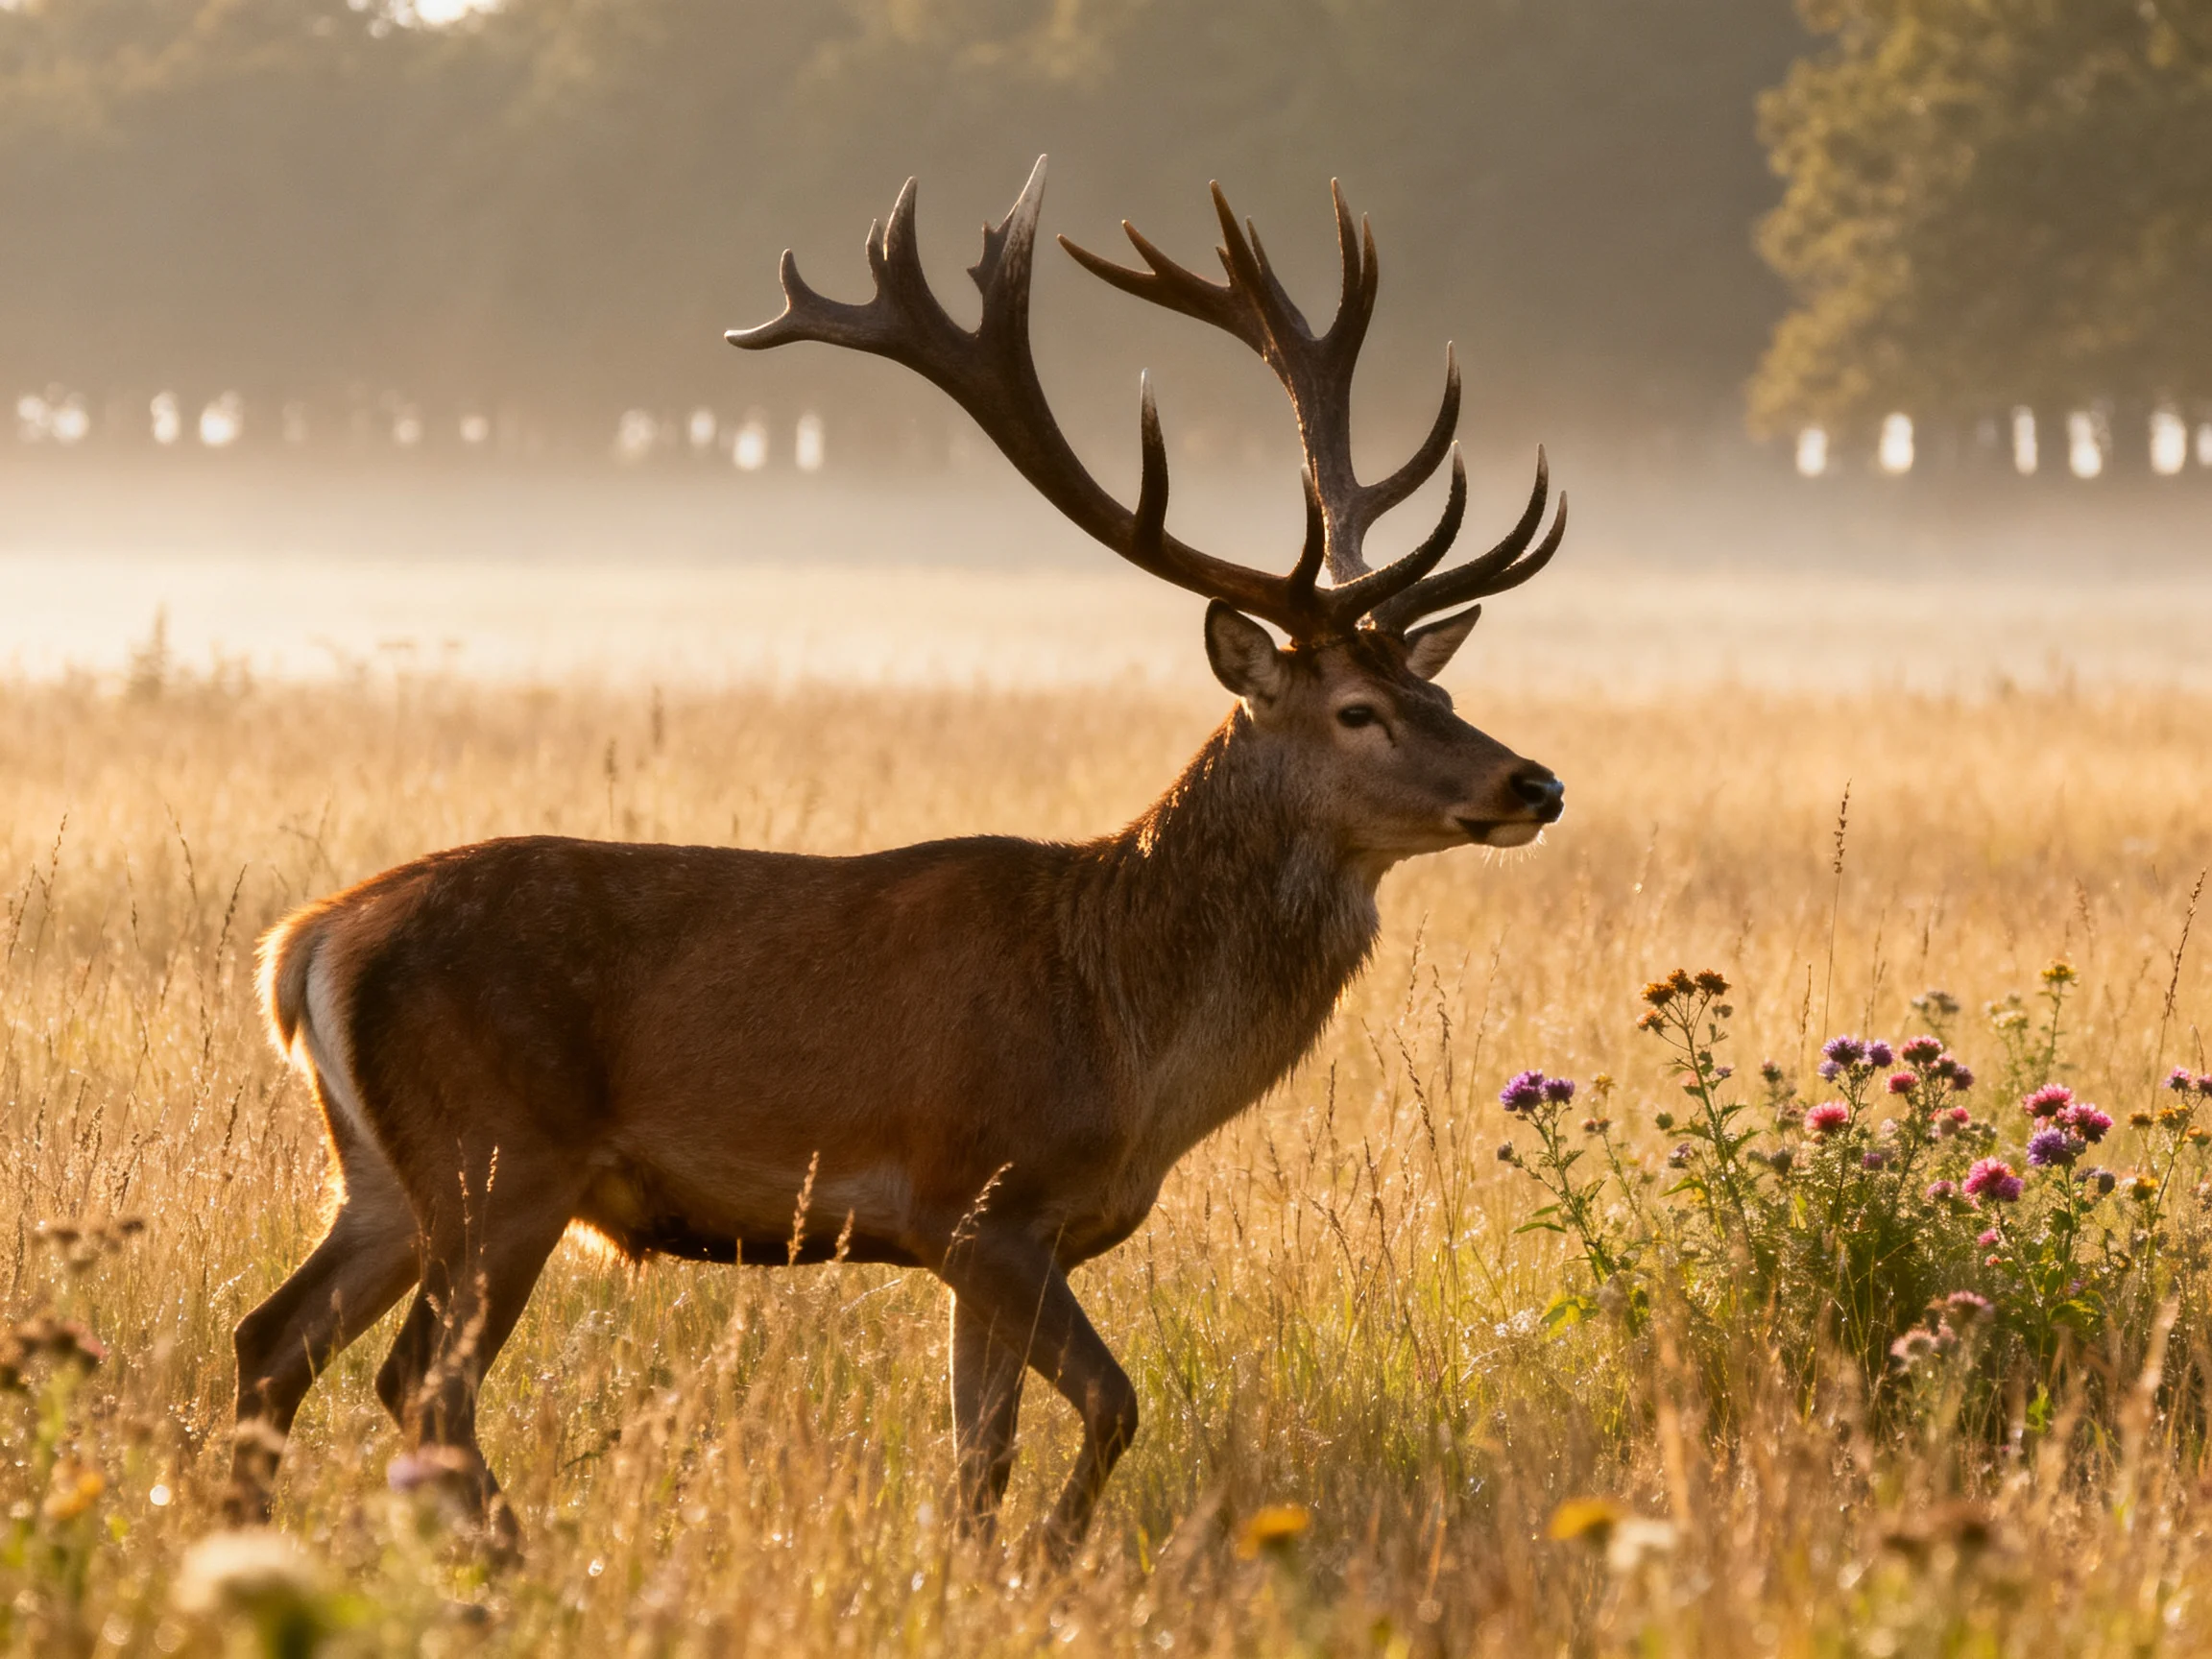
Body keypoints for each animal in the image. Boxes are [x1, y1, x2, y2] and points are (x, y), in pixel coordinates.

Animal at [226, 157, 1567, 1564]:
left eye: (1440, 687)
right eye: (1357, 710)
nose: (1533, 783)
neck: (1128, 1041)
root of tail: (305, 944)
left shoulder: (1017, 1240)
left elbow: (980, 1454)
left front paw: (982, 1568)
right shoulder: (970, 1197)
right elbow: (1112, 1406)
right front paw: (1051, 1559)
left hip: (384, 1172)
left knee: (272, 1340)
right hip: (500, 1159)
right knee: (420, 1382)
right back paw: (513, 1564)